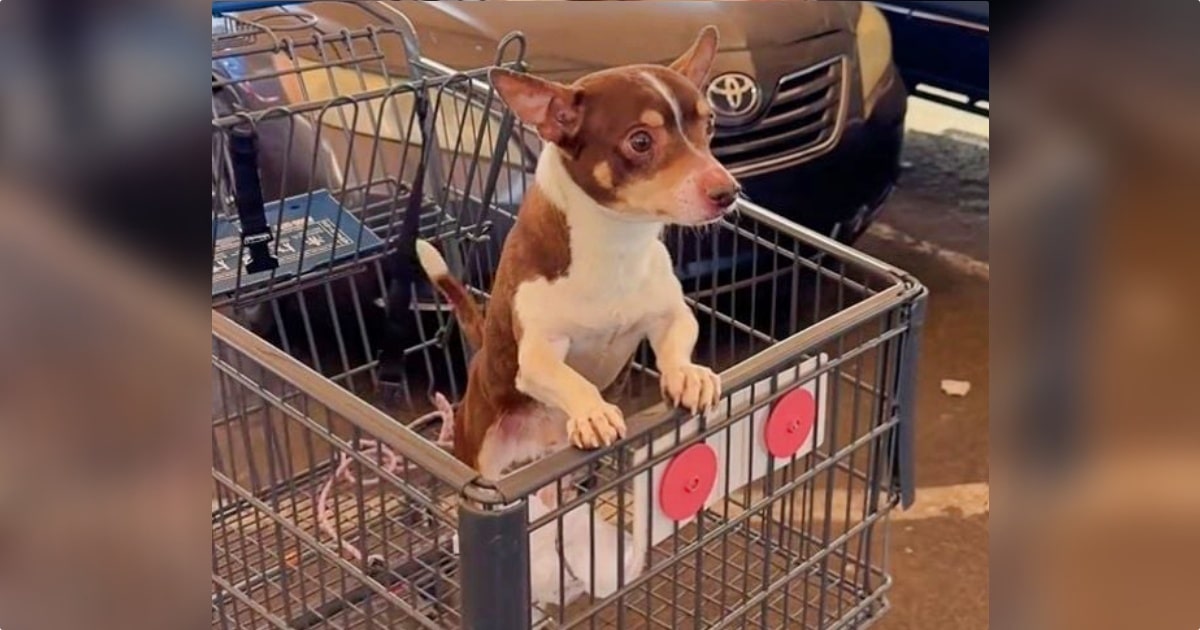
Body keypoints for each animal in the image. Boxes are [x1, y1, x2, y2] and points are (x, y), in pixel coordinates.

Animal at [422, 25, 739, 477]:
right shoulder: (538, 353)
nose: (728, 191)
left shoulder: (672, 315)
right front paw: (593, 411)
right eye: (640, 141)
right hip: (481, 455)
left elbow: (678, 342)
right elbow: (571, 378)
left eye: (709, 124)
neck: (617, 243)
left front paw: (688, 374)